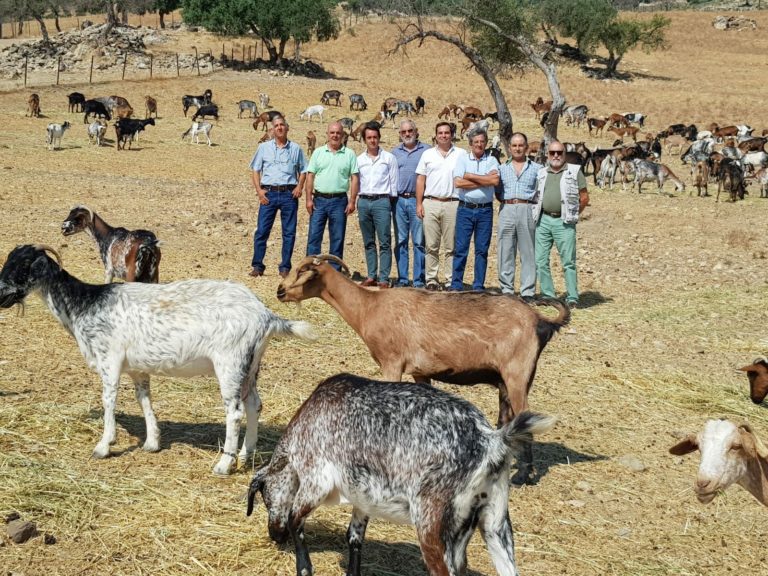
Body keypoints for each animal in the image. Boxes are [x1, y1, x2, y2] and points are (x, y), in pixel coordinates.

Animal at [0, 245, 316, 474]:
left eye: (22, 266)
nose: (1, 296)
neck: (86, 303)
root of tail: (267, 316)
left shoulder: (109, 360)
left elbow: (109, 400)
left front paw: (104, 446)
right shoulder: (137, 368)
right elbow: (144, 398)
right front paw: (152, 442)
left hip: (230, 362)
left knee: (235, 411)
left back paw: (225, 464)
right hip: (250, 366)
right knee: (254, 405)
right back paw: (246, 454)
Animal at [246, 372, 552, 576]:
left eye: (264, 496)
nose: (275, 536)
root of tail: (490, 440)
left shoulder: (315, 480)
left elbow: (296, 519)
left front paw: (304, 567)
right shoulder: (363, 497)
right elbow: (354, 538)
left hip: (432, 526)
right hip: (495, 523)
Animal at [276, 254, 568, 484]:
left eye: (303, 271)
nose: (280, 291)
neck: (369, 308)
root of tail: (540, 321)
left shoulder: (392, 363)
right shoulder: (421, 372)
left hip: (517, 374)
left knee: (525, 417)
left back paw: (523, 476)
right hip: (506, 381)